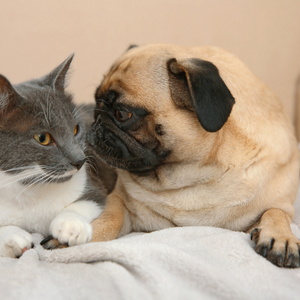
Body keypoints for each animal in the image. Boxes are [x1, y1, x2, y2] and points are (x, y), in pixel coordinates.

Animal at [0, 54, 116, 258]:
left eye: (76, 129)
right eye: (43, 138)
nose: (80, 160)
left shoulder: (95, 186)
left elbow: (88, 201)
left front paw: (71, 226)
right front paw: (13, 238)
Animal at [87, 44, 300, 268]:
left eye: (122, 114)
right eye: (95, 101)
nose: (96, 119)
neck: (187, 176)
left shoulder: (277, 206)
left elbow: (276, 213)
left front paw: (281, 237)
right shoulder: (120, 201)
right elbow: (110, 217)